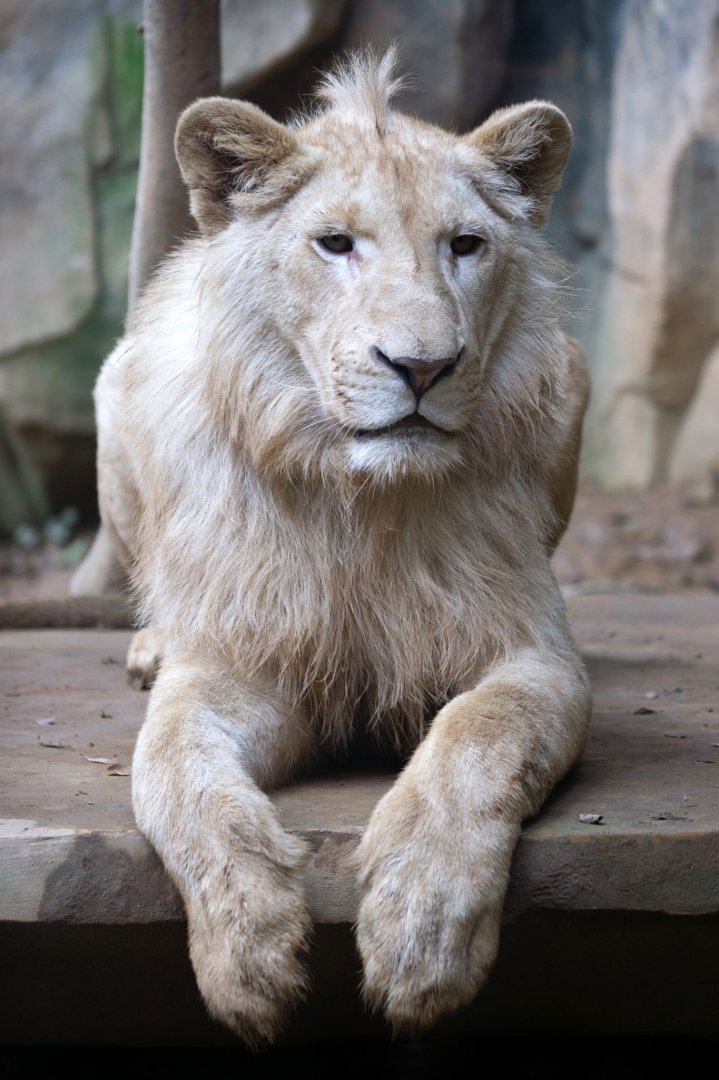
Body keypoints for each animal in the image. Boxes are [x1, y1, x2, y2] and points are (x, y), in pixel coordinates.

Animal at [88, 51, 591, 1044]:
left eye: (464, 245)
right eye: (334, 244)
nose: (423, 367)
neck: (360, 503)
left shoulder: (534, 655)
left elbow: (478, 738)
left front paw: (421, 929)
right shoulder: (242, 663)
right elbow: (170, 771)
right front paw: (246, 944)